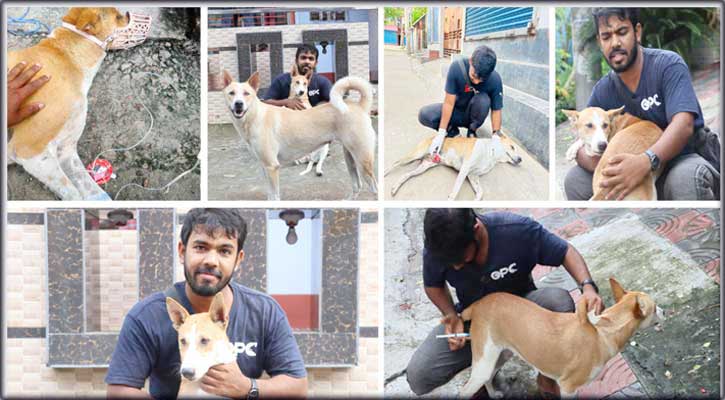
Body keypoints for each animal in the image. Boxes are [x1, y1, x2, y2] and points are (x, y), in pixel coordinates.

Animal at [7, 6, 144, 200]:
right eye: (118, 16)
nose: (128, 14)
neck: (68, 59)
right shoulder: (28, 150)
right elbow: (73, 193)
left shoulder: (66, 150)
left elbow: (89, 187)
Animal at [223, 70, 376, 200]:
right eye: (231, 93)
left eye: (247, 93)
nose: (238, 104)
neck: (255, 116)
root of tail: (359, 106)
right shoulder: (264, 167)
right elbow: (269, 196)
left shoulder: (272, 167)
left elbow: (275, 197)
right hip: (350, 158)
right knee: (357, 185)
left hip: (363, 161)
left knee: (374, 188)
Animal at [384, 132, 520, 202]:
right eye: (512, 147)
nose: (520, 159)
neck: (490, 153)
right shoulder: (465, 169)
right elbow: (456, 189)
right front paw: (450, 200)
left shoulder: (473, 175)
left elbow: (480, 192)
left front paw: (476, 201)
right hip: (415, 155)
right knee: (395, 163)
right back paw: (384, 173)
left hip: (424, 166)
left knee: (406, 174)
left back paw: (395, 188)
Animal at [458, 278, 660, 396]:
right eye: (655, 308)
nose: (664, 311)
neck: (603, 330)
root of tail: (478, 304)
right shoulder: (568, 387)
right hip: (484, 364)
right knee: (465, 390)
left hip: (499, 356)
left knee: (489, 379)